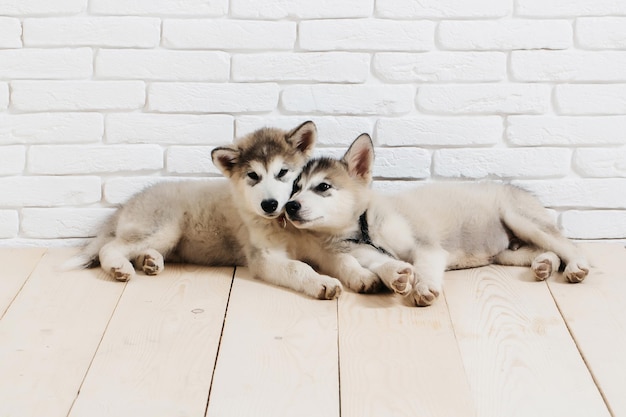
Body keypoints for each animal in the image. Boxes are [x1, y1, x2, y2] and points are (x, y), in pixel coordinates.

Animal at [69, 120, 360, 300]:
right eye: (253, 176)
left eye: (283, 173)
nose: (269, 205)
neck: (286, 226)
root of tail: (128, 203)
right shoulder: (264, 258)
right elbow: (297, 267)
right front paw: (321, 282)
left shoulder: (321, 248)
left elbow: (343, 260)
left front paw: (360, 277)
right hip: (164, 228)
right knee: (111, 247)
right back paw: (120, 267)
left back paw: (150, 261)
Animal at [286, 133, 588, 306]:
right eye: (295, 188)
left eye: (323, 187)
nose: (289, 206)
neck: (364, 228)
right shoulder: (364, 254)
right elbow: (383, 265)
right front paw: (395, 274)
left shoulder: (427, 247)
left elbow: (423, 265)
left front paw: (423, 286)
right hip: (507, 253)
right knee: (545, 250)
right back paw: (545, 264)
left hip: (521, 219)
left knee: (568, 246)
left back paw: (575, 266)